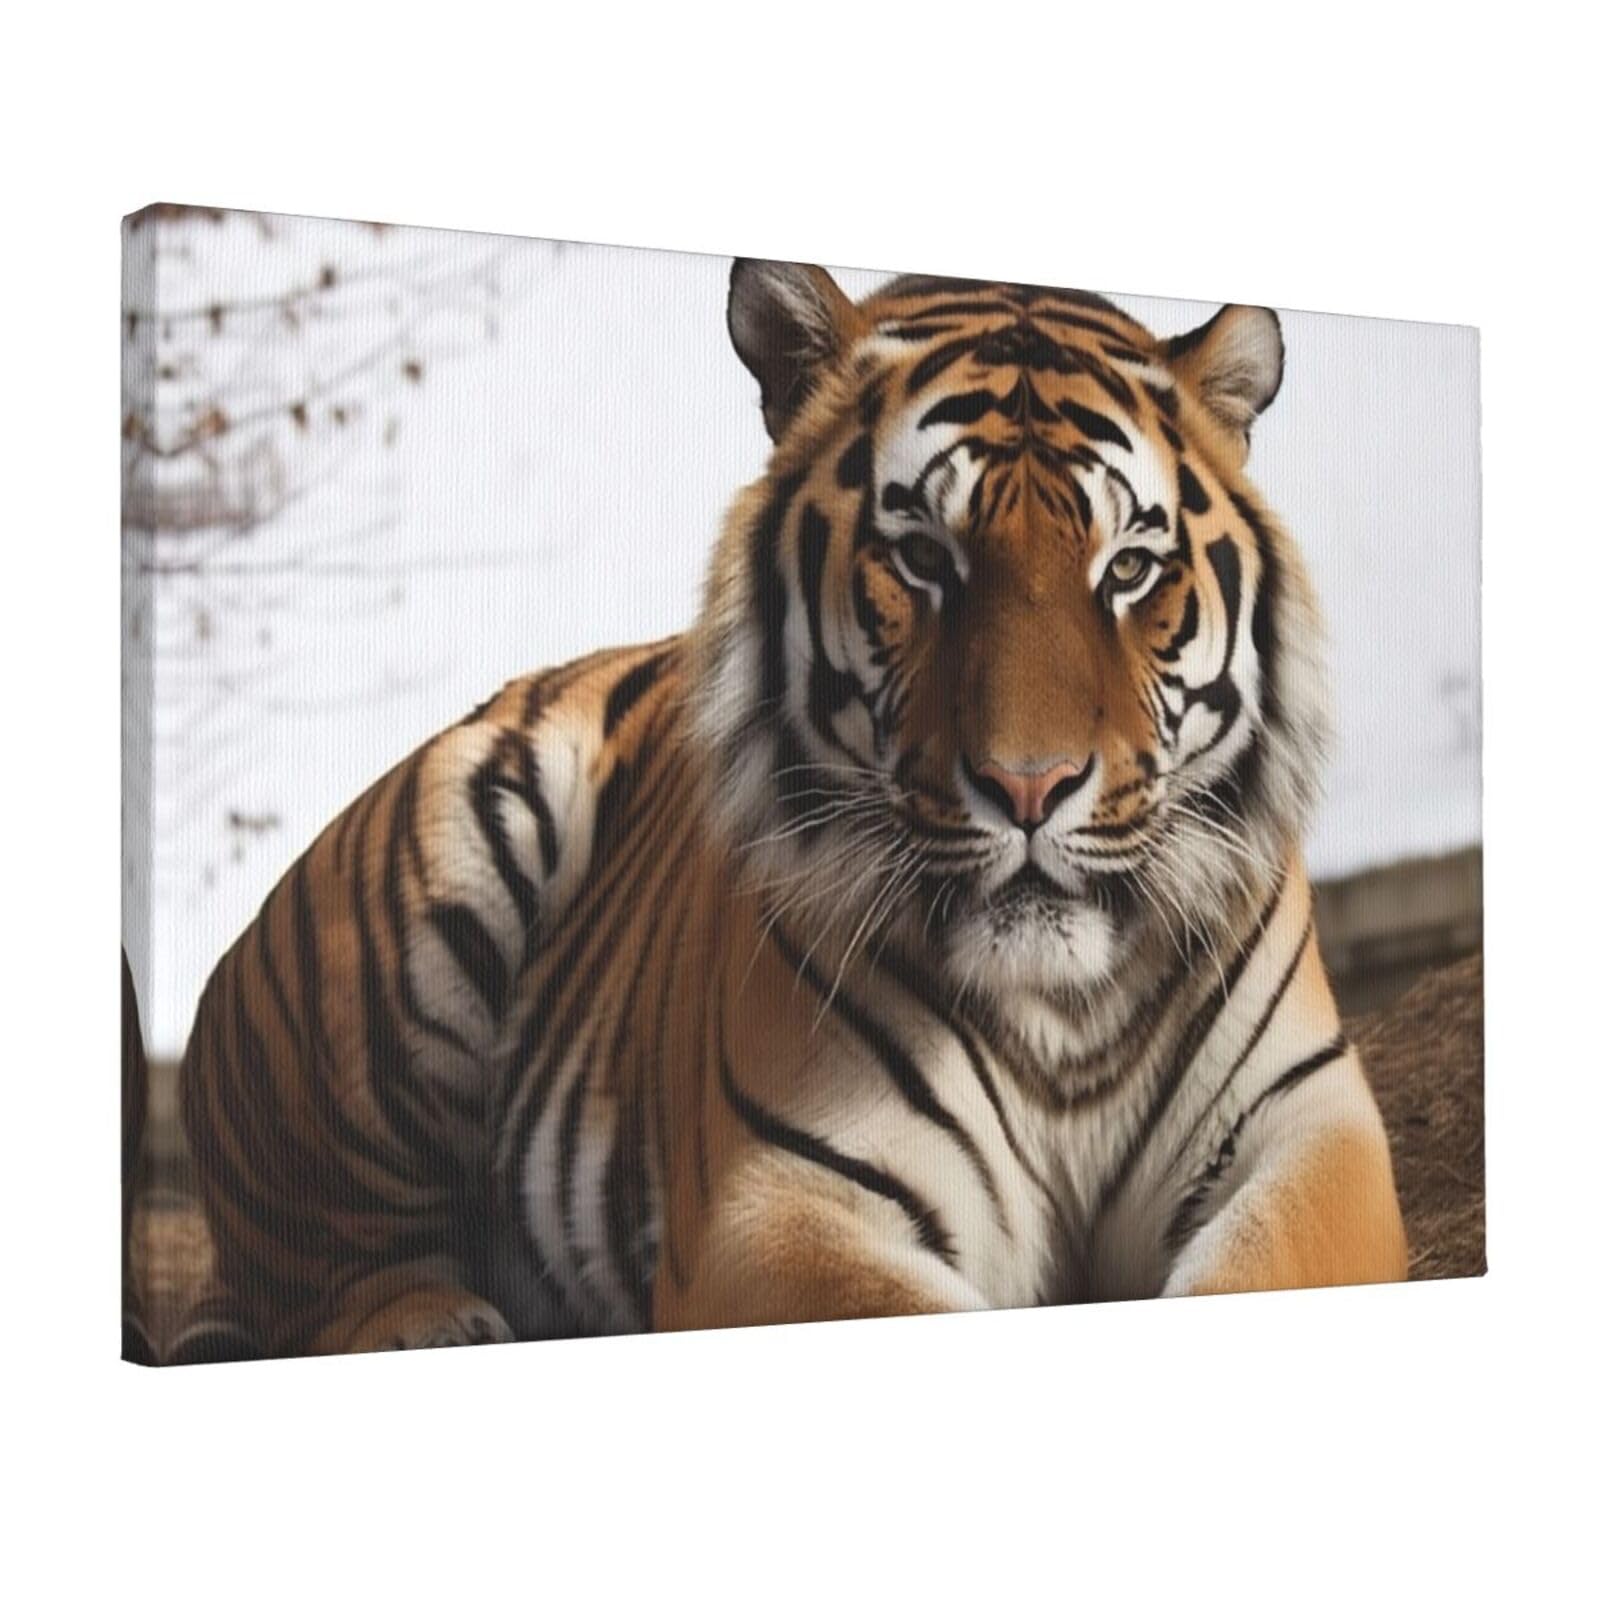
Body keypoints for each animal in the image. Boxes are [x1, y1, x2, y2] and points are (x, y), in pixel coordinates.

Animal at [175, 259, 1407, 1359]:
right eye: (923, 558)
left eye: (1129, 570)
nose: (1029, 785)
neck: (1063, 1023)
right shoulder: (778, 1200)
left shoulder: (1308, 1134)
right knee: (332, 1263)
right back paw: (432, 1323)